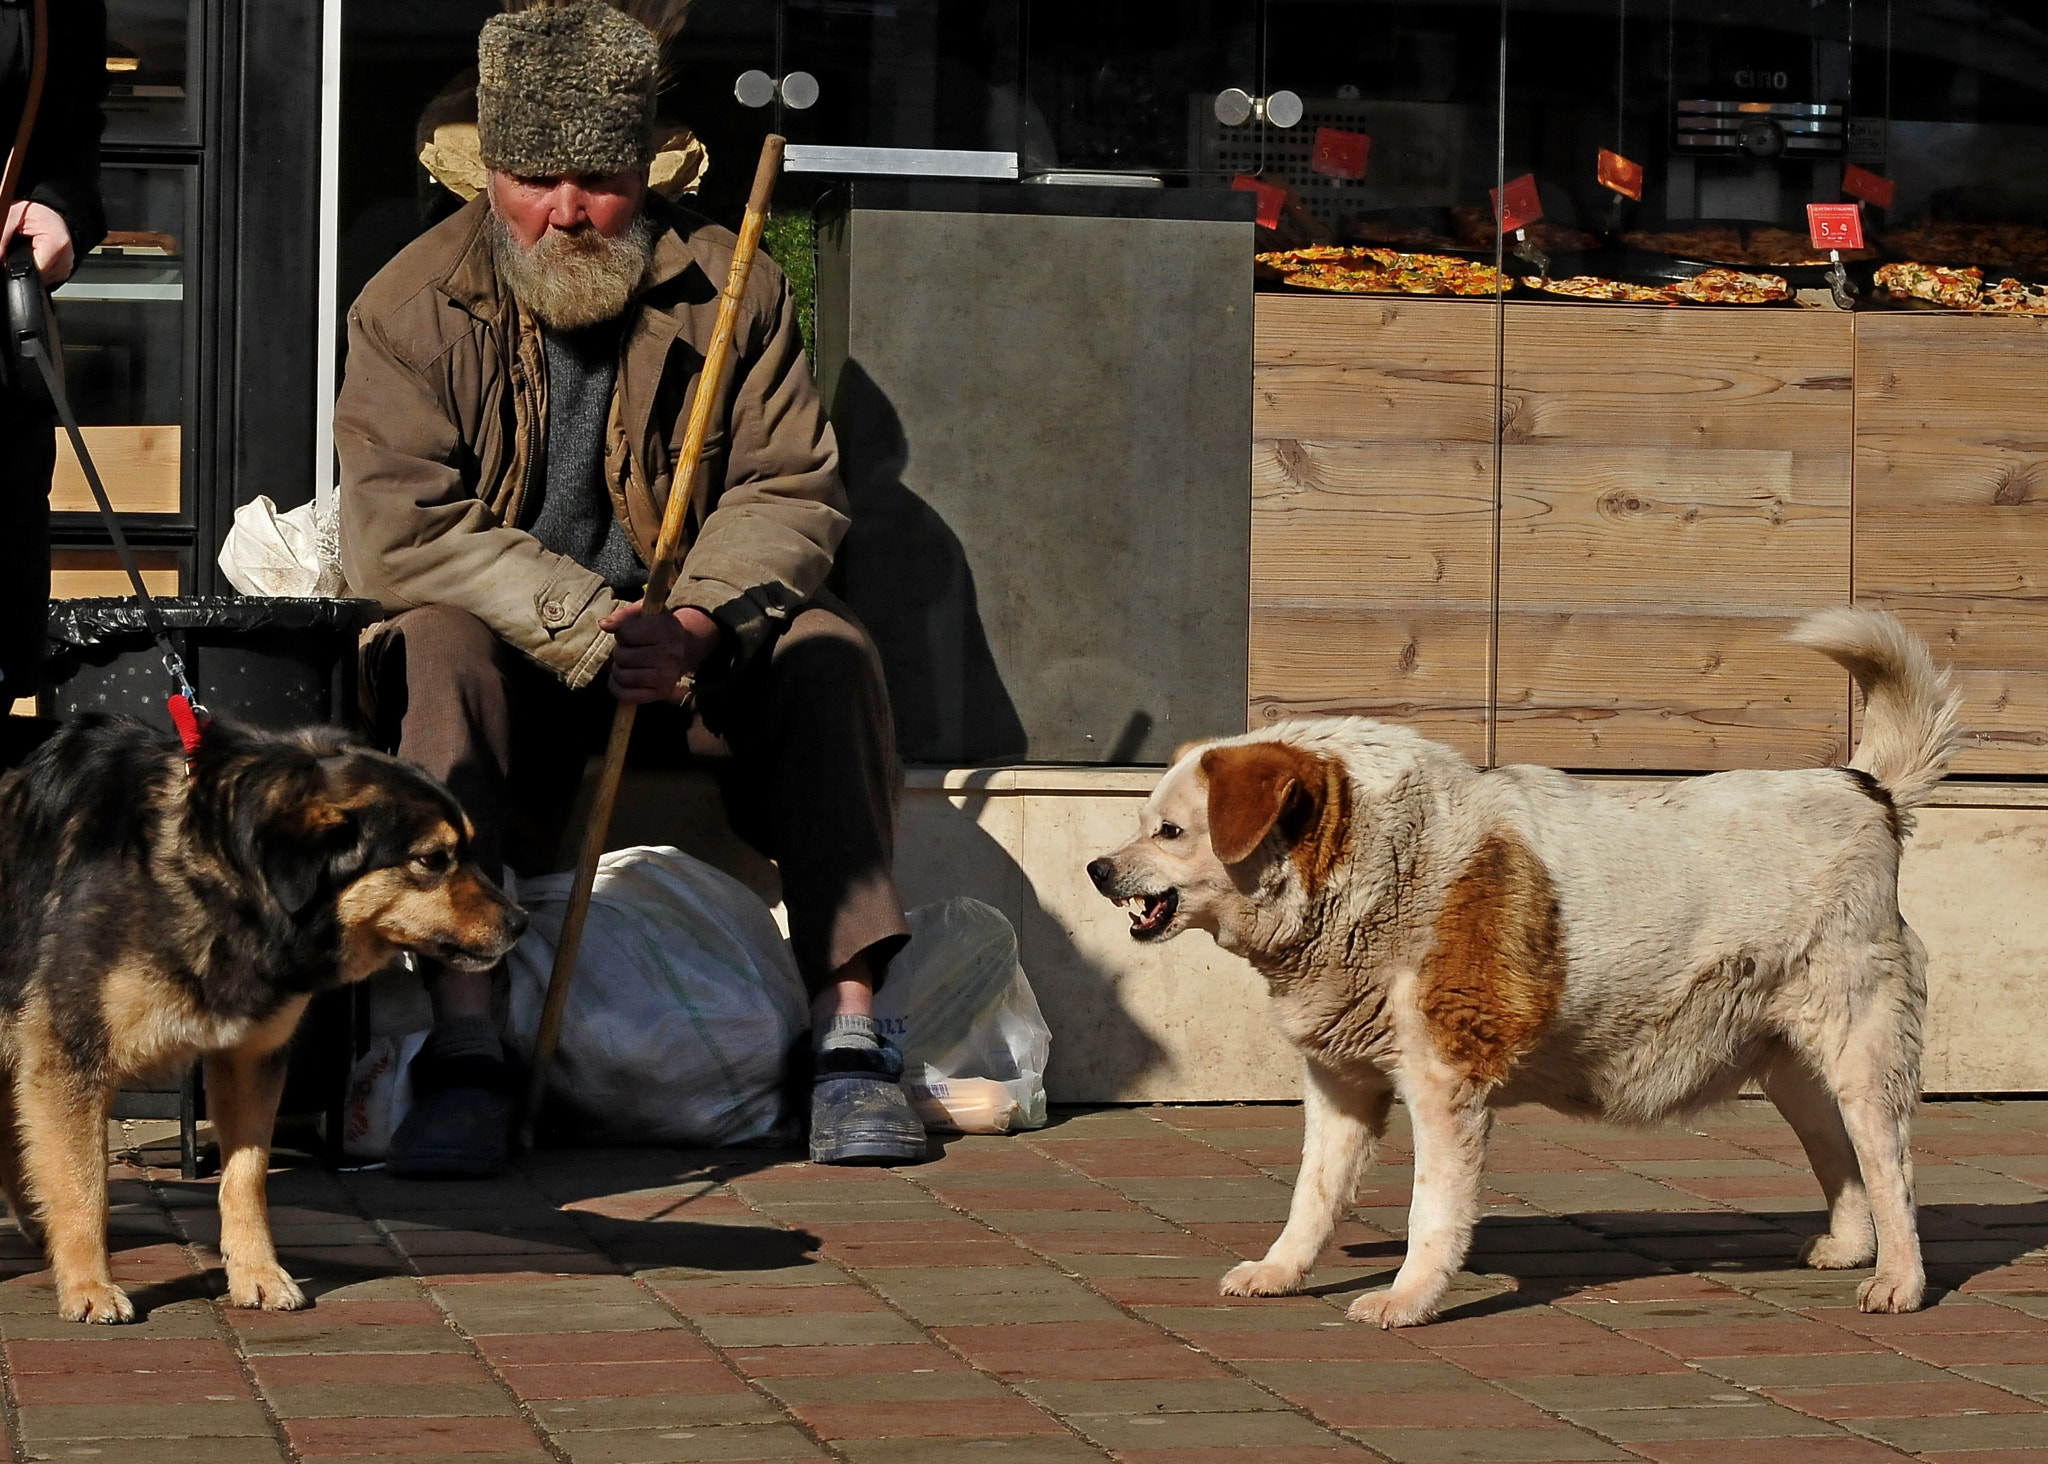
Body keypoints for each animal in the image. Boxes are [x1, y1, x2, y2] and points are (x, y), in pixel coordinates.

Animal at [0, 716, 528, 1326]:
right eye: (432, 859)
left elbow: (246, 1179)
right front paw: (88, 1285)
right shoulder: (71, 1052)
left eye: (464, 850)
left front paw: (257, 1274)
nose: (522, 922)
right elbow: (85, 1184)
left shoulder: (249, 1058)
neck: (221, 870)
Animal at [1089, 606, 1966, 1326]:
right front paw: (1280, 1272)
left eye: (1170, 831)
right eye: (1143, 823)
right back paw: (1849, 1246)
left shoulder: (1445, 1085)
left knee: (1892, 1167)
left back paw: (1900, 1280)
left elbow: (1432, 1211)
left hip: (1861, 1054)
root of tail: (1867, 790)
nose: (1097, 869)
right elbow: (1312, 1196)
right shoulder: (1340, 1085)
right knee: (1840, 1157)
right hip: (1792, 1067)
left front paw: (1410, 1299)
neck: (1375, 859)